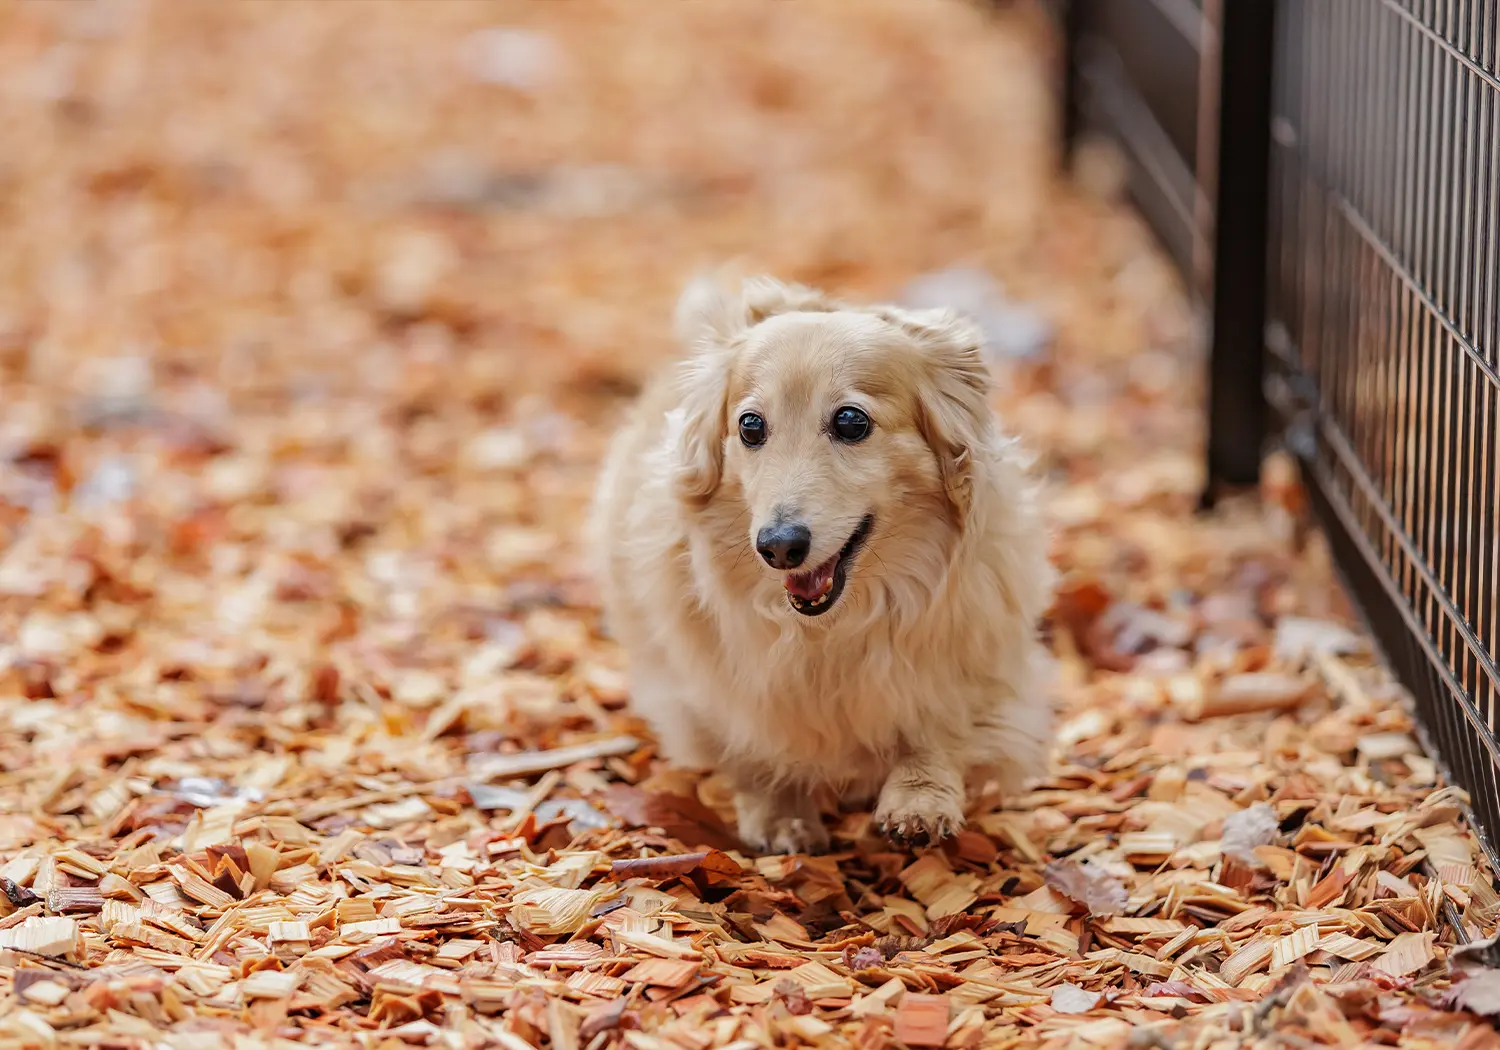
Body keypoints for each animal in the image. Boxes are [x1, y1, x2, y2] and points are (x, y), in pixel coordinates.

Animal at [588, 277, 1056, 852]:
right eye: (750, 426)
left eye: (851, 421)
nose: (778, 546)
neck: (833, 627)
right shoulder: (711, 691)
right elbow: (749, 747)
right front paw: (781, 812)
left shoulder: (983, 666)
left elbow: (942, 726)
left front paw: (919, 798)